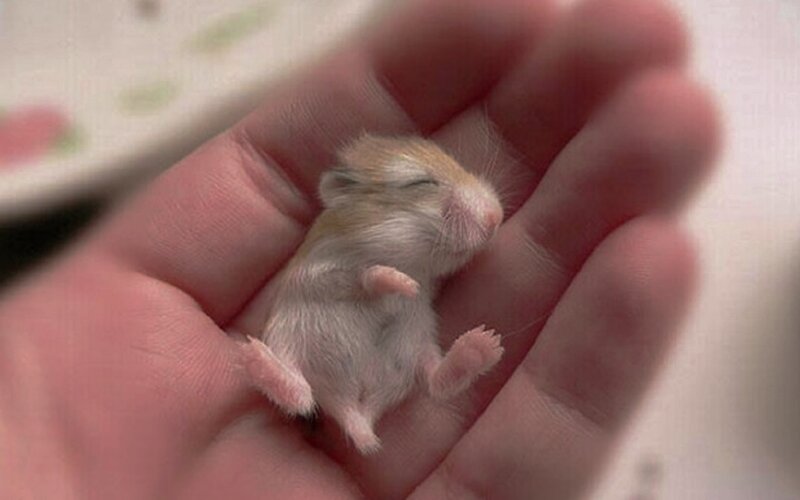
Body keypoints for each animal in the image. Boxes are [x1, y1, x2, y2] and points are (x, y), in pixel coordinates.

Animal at [240, 134, 504, 454]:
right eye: (421, 182)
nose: (497, 217)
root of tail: (355, 411)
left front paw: (409, 288)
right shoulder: (320, 273)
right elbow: (366, 276)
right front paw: (404, 284)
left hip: (416, 346)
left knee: (435, 383)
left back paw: (484, 344)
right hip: (285, 340)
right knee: (301, 395)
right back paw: (253, 355)